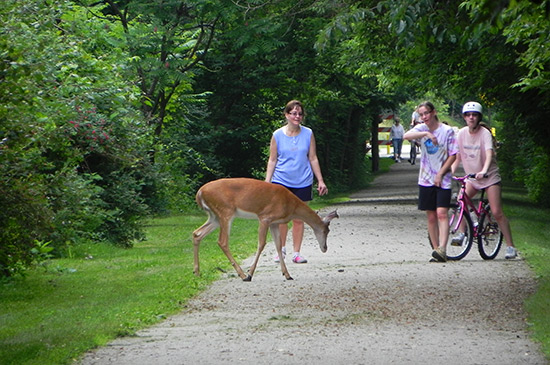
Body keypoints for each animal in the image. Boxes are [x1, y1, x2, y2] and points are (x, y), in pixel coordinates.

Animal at [194, 178, 340, 280]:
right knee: (222, 241)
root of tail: (199, 193)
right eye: (326, 231)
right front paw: (250, 273)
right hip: (225, 211)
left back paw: (196, 272)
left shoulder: (274, 223)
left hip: (215, 216)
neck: (291, 206)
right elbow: (261, 244)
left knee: (197, 233)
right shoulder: (265, 217)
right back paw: (242, 275)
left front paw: (287, 274)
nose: (325, 248)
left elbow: (278, 245)